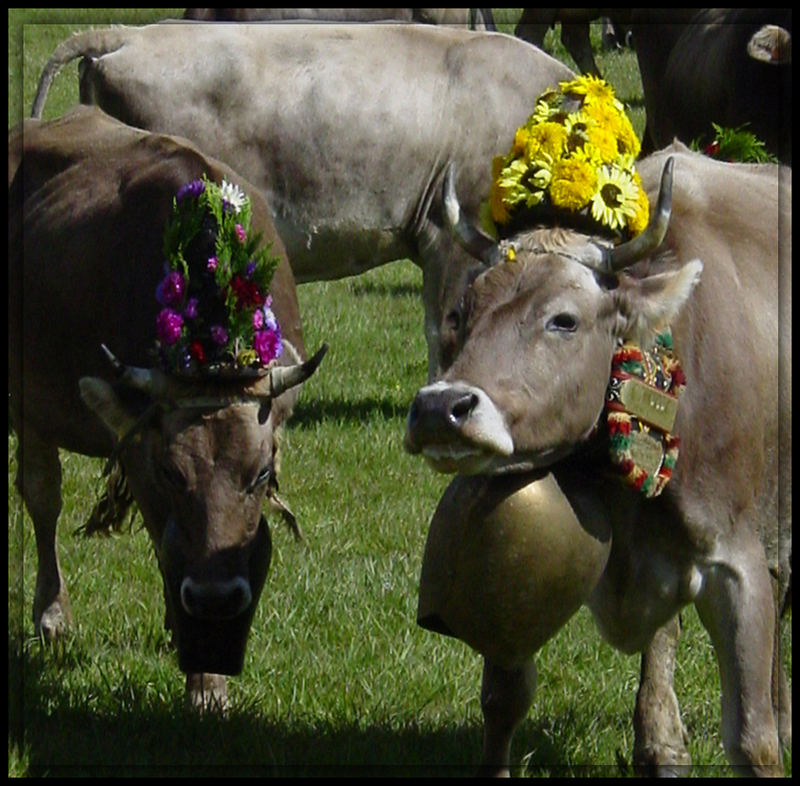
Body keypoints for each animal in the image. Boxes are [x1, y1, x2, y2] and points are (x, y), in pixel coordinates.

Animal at [7, 105, 326, 712]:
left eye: (262, 474)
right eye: (170, 472)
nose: (215, 597)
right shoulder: (135, 450)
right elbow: (164, 543)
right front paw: (204, 682)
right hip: (29, 403)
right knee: (42, 495)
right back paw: (52, 614)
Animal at [404, 141, 792, 772]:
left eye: (564, 319)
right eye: (461, 312)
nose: (441, 408)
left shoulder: (737, 559)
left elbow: (750, 738)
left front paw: (768, 733)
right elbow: (502, 701)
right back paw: (660, 741)